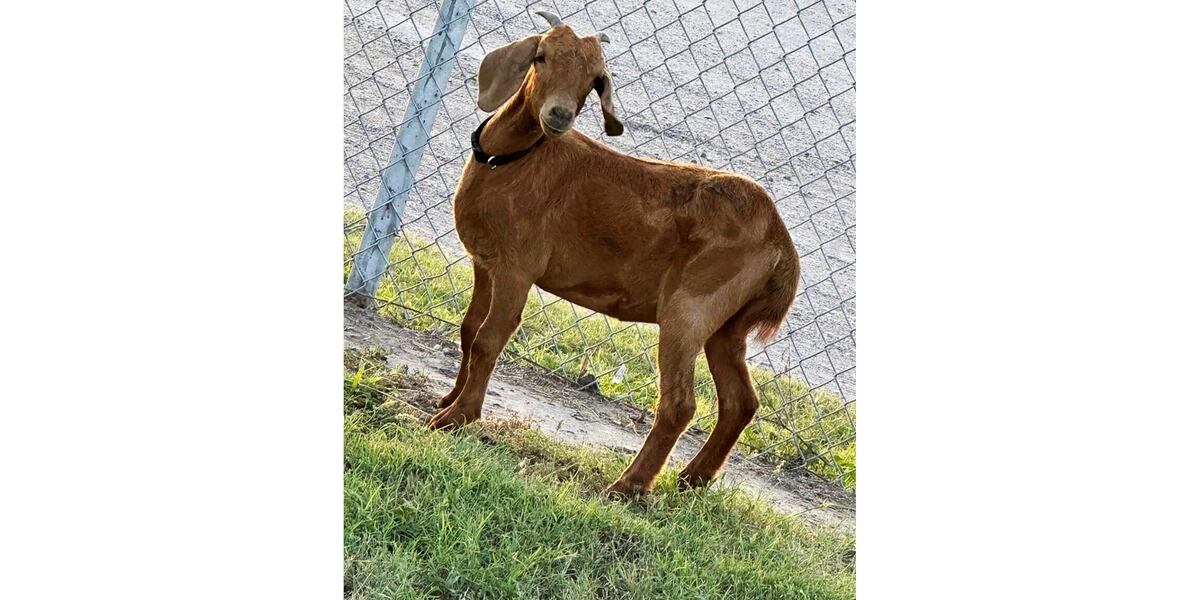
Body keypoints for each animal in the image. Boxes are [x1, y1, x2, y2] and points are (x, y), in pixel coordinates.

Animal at [430, 11, 801, 498]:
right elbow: (469, 330)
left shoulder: (517, 268)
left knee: (680, 403)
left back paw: (629, 486)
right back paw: (691, 480)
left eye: (595, 81)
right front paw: (448, 399)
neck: (514, 161)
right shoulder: (484, 263)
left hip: (690, 308)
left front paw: (457, 418)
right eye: (541, 55)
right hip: (727, 326)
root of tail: (780, 241)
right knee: (741, 401)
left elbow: (491, 337)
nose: (560, 115)